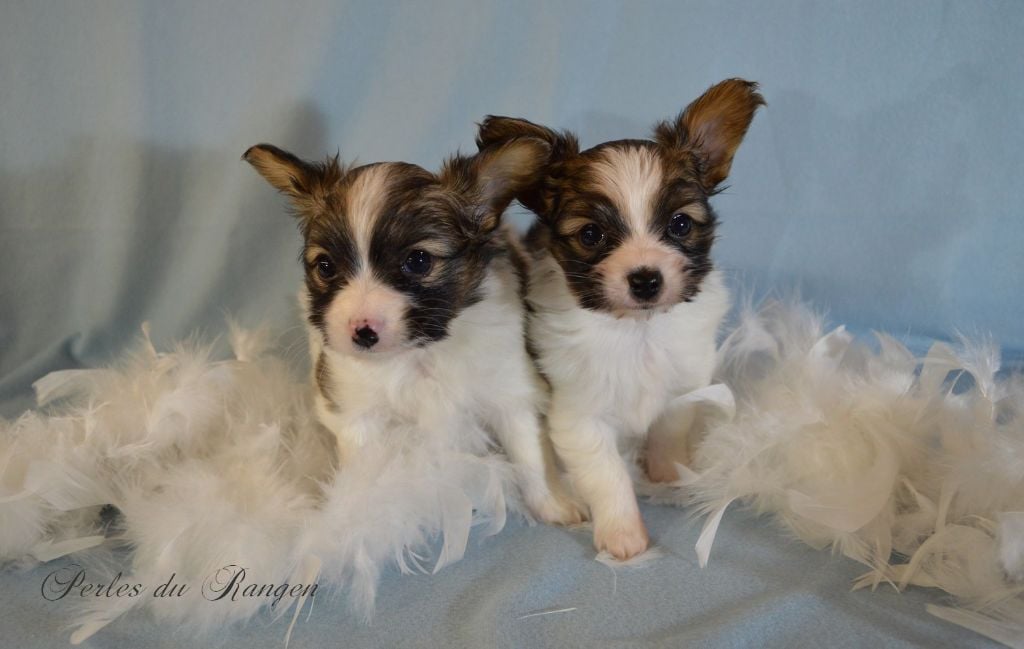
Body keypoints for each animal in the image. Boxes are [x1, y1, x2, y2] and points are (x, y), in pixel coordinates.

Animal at [239, 139, 585, 524]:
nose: (361, 331)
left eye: (418, 261)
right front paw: (357, 516)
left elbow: (529, 455)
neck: (418, 353)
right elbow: (365, 472)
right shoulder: (356, 411)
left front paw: (554, 503)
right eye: (325, 267)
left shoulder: (510, 392)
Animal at [477, 77, 761, 556]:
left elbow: (669, 430)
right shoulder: (578, 418)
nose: (645, 279)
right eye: (592, 234)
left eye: (680, 225)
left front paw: (667, 475)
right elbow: (607, 475)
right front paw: (623, 536)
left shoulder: (681, 385)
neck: (636, 330)